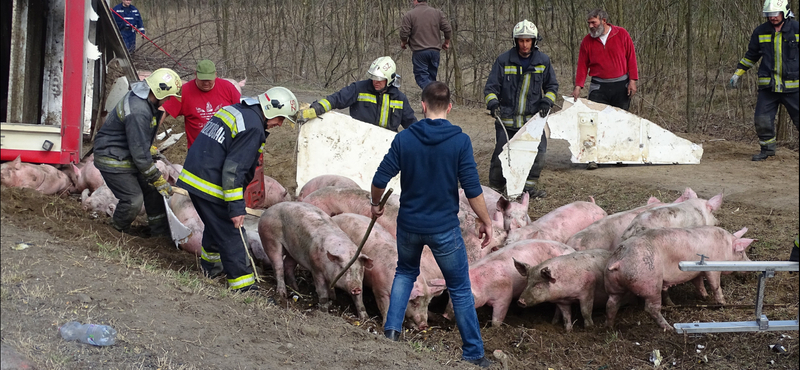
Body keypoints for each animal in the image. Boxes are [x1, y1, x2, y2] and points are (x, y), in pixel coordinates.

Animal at [608, 225, 756, 330]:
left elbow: (699, 283)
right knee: (651, 308)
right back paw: (668, 327)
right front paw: (723, 303)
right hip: (650, 282)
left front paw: (705, 297)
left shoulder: (696, 272)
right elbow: (715, 285)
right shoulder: (712, 267)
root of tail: (620, 260)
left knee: (612, 303)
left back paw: (609, 327)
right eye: (741, 252)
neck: (725, 247)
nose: (751, 265)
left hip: (614, 284)